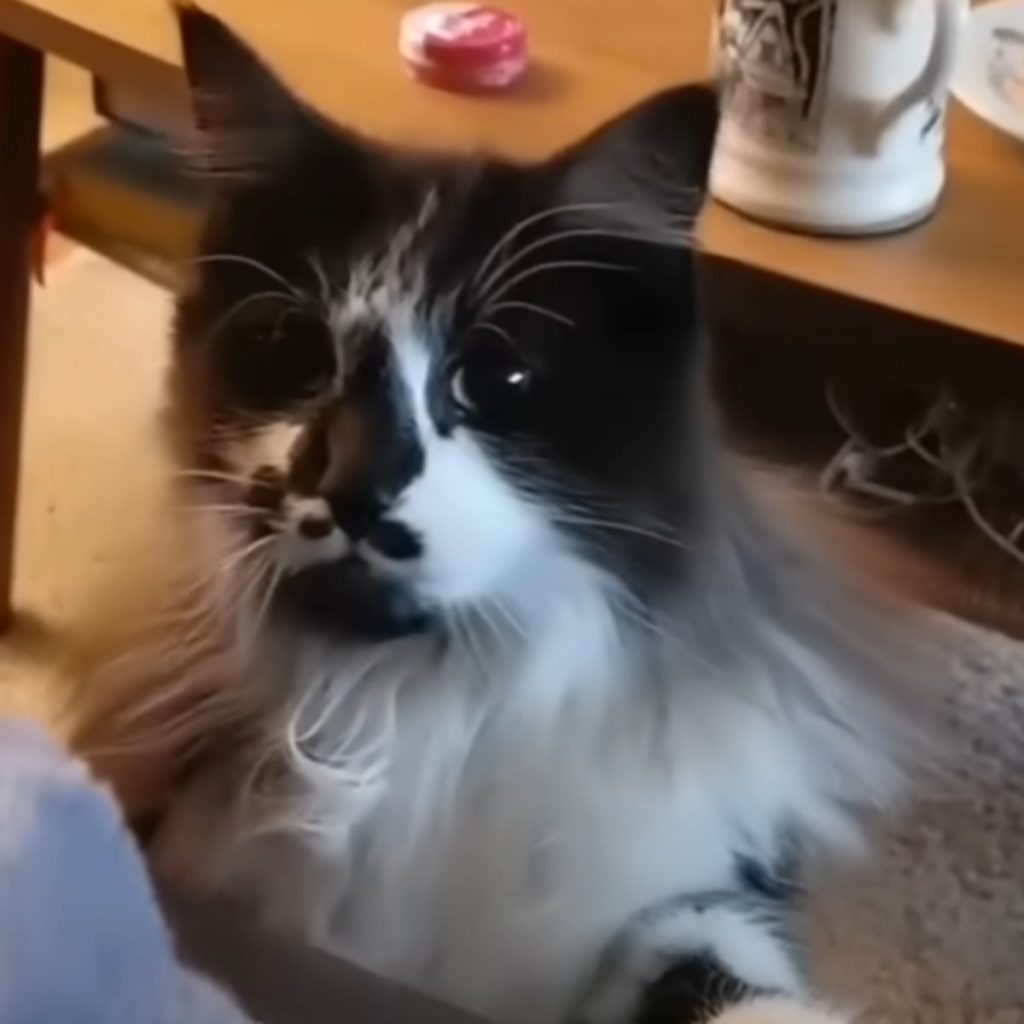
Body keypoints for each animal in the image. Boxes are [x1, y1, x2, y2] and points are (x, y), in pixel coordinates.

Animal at [74, 8, 929, 1024]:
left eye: (495, 378)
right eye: (294, 350)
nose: (354, 486)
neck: (404, 722)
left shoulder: (700, 895)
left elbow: (727, 983)